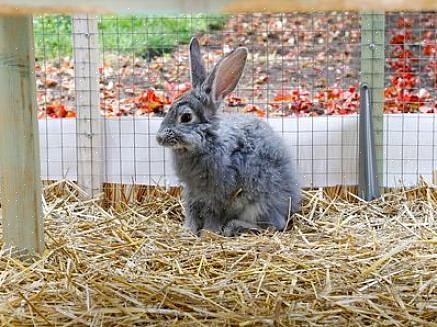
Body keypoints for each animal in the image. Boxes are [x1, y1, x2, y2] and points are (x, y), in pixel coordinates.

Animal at [156, 38, 300, 237]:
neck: (207, 141)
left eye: (186, 117)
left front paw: (209, 232)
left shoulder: (218, 195)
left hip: (259, 205)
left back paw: (234, 226)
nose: (159, 138)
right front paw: (188, 231)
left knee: (272, 225)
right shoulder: (192, 191)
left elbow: (212, 214)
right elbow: (191, 211)